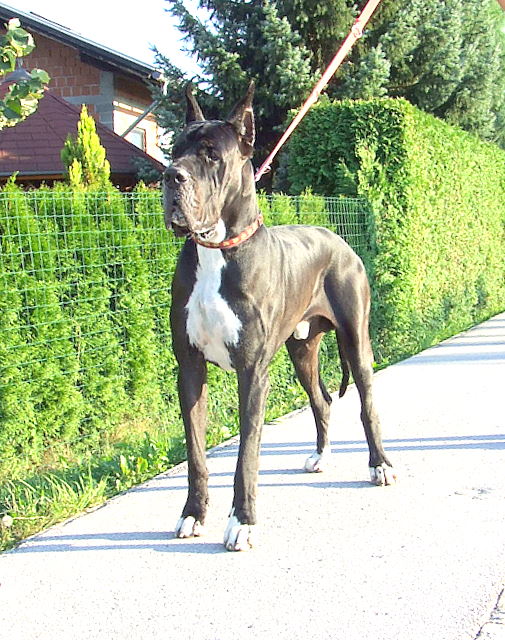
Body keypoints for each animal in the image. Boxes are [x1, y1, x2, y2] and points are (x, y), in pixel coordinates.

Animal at [163, 82, 396, 551]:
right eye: (174, 150)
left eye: (211, 154)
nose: (171, 176)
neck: (217, 250)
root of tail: (337, 238)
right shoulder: (189, 368)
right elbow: (195, 451)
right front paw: (194, 514)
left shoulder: (252, 371)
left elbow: (247, 452)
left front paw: (243, 522)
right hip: (302, 348)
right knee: (322, 400)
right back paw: (321, 456)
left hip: (355, 340)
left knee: (367, 404)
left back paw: (379, 464)